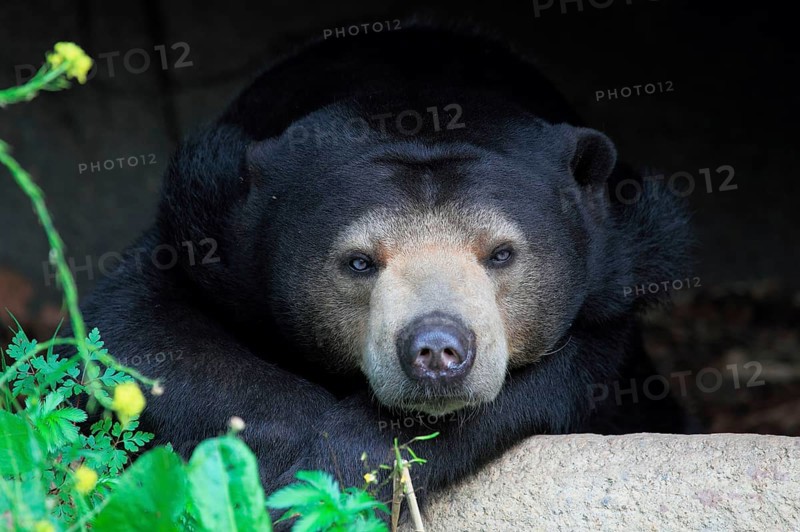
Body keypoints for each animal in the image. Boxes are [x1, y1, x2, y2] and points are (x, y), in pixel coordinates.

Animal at [80, 23, 690, 519]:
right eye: (359, 261)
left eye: (500, 253)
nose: (437, 349)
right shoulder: (206, 223)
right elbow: (139, 329)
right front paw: (291, 458)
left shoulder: (626, 257)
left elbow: (564, 373)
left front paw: (346, 458)